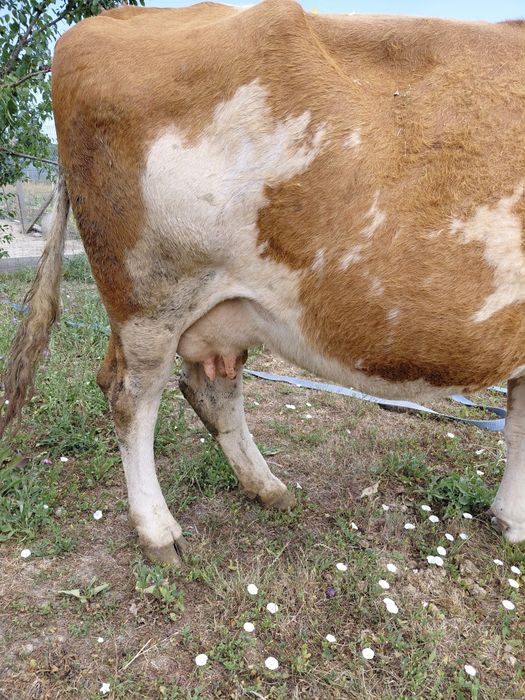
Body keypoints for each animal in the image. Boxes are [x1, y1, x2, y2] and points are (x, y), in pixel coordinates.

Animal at [2, 0, 525, 565]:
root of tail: (111, 19)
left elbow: (517, 426)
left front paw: (508, 519)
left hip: (216, 304)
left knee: (208, 387)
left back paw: (266, 487)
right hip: (149, 296)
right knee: (130, 397)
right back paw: (158, 531)